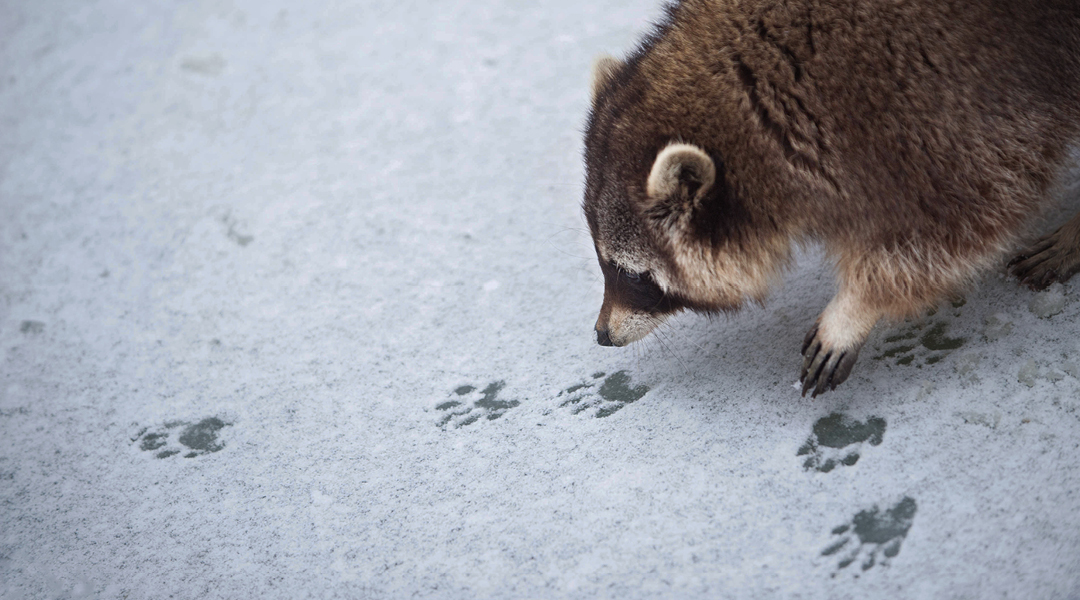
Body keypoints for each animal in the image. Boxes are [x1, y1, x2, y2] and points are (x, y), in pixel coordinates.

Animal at [583, 1, 1080, 399]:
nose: (601, 335)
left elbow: (971, 208)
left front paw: (856, 306)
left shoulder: (946, 99)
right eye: (605, 263)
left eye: (633, 275)